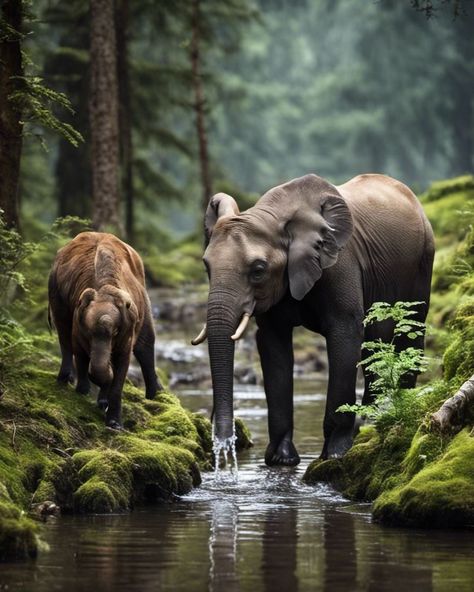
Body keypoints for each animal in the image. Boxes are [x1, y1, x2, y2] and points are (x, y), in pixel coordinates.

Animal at [48, 229, 162, 428]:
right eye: (89, 332)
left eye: (116, 332)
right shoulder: (79, 322)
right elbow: (80, 351)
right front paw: (85, 392)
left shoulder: (128, 327)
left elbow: (123, 361)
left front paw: (114, 423)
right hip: (55, 291)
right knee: (64, 334)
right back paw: (64, 380)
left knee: (145, 344)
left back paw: (153, 397)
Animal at [193, 173, 434, 464]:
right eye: (206, 266)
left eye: (258, 270)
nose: (225, 443)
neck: (273, 215)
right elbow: (272, 343)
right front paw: (281, 460)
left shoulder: (340, 263)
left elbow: (345, 333)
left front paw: (335, 454)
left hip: (423, 260)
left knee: (403, 332)